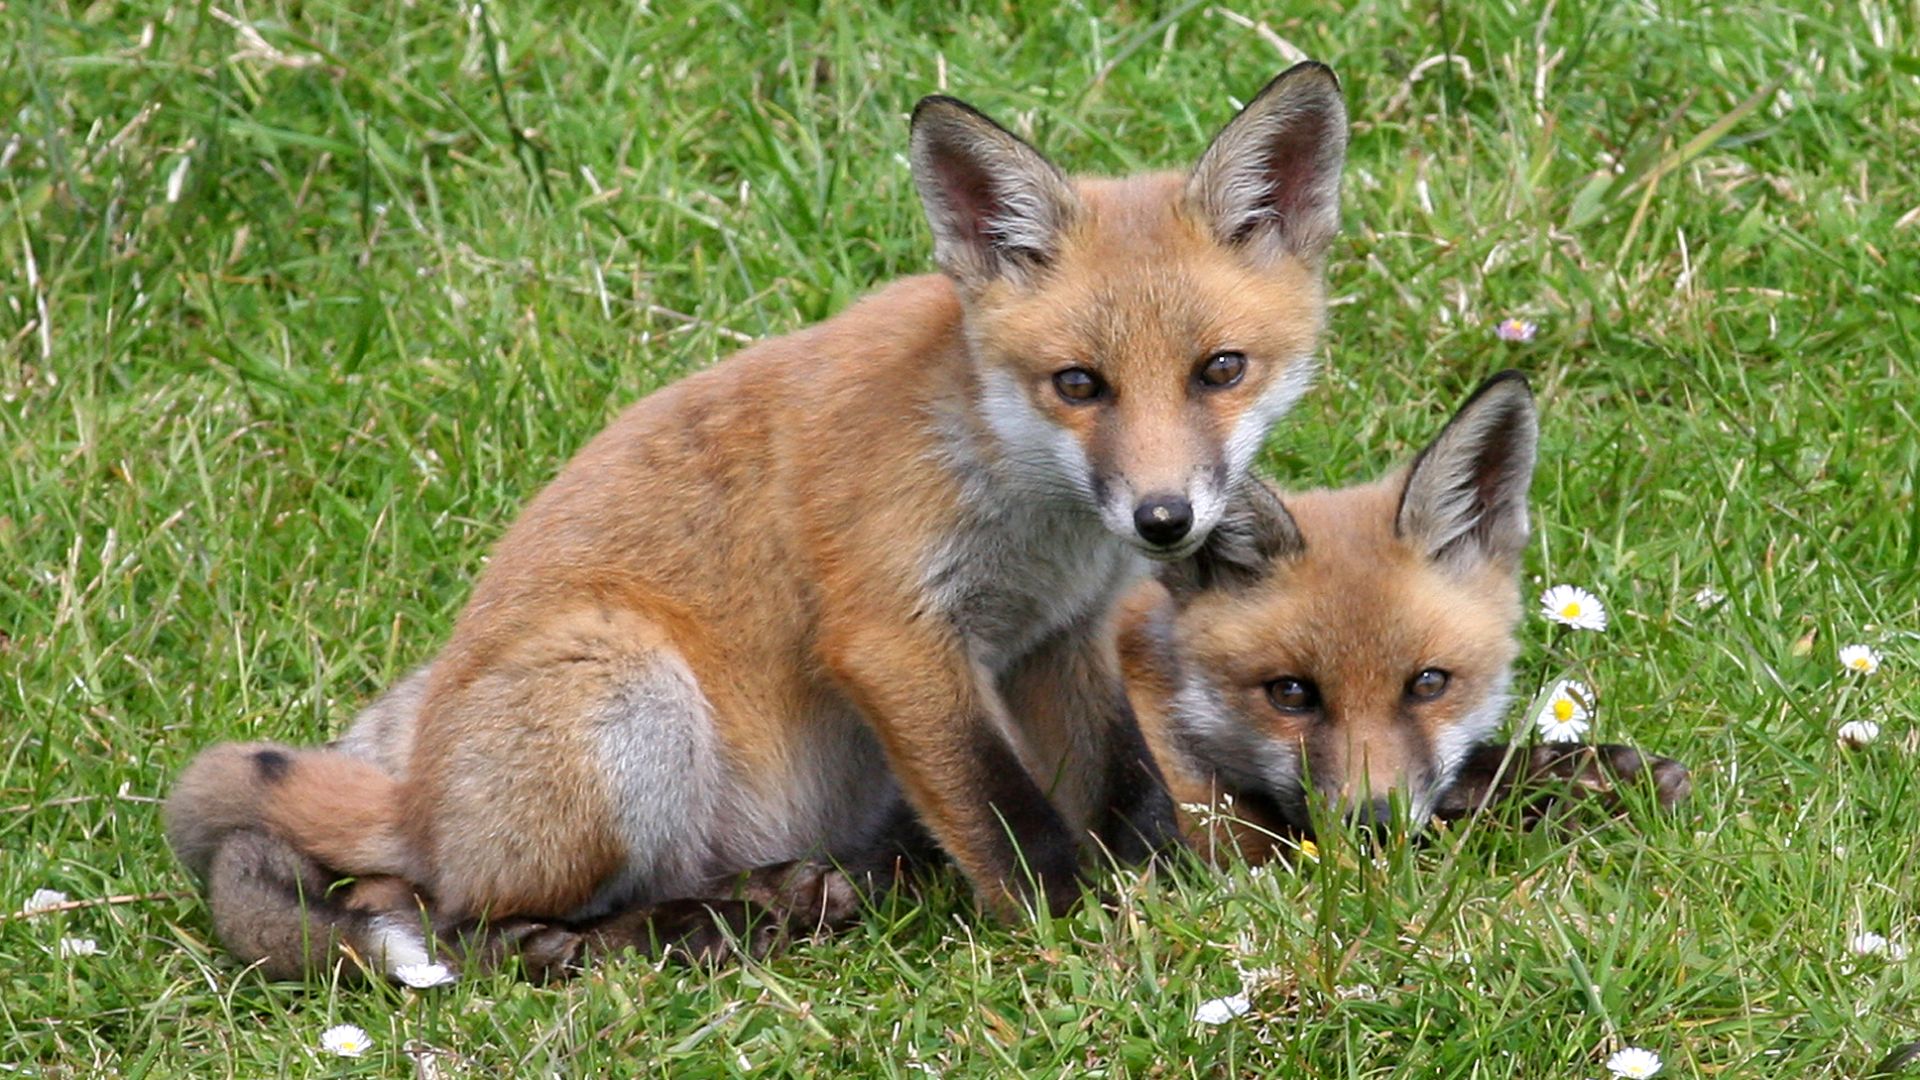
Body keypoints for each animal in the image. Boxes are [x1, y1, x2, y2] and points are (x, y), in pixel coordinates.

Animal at [165, 63, 1352, 982]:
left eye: (1220, 371)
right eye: (1079, 384)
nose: (1164, 519)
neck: (1019, 489)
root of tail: (413, 797)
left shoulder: (1059, 636)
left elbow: (1124, 785)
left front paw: (1174, 890)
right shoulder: (893, 636)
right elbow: (1007, 815)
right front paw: (1088, 933)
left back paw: (783, 899)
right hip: (624, 690)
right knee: (451, 917)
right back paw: (676, 934)